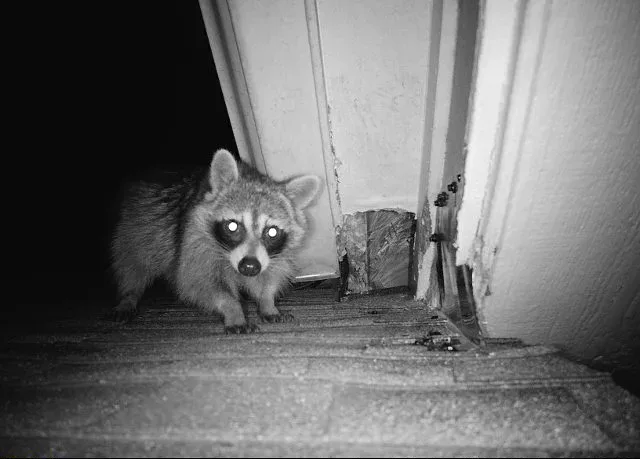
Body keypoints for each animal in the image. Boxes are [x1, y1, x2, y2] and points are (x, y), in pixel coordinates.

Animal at [110, 148, 323, 333]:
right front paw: (233, 310)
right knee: (132, 266)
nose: (249, 267)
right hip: (134, 231)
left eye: (271, 232)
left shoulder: (272, 255)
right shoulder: (194, 242)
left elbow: (270, 276)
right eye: (233, 226)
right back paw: (129, 296)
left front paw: (267, 302)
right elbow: (200, 283)